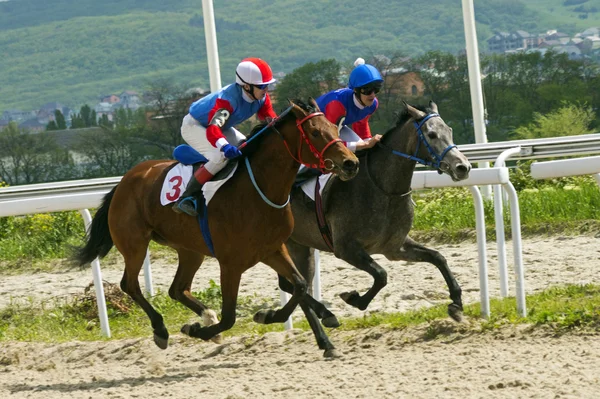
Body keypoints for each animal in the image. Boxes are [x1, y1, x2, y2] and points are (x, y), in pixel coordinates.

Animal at [73, 100, 358, 356]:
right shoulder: (230, 263)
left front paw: (274, 316)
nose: (351, 163)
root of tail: (124, 181)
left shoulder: (272, 250)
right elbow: (230, 316)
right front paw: (199, 331)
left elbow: (299, 284)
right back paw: (162, 330)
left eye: (334, 127)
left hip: (190, 250)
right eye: (315, 132)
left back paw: (205, 316)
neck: (258, 190)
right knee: (130, 284)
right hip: (134, 244)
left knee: (177, 288)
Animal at [282, 101, 474, 354]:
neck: (384, 188)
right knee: (294, 286)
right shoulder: (346, 248)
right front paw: (354, 298)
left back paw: (325, 339)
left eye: (449, 130)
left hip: (300, 247)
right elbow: (381, 275)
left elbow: (438, 257)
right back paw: (322, 318)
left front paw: (456, 305)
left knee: (295, 285)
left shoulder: (394, 247)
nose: (463, 167)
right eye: (431, 134)